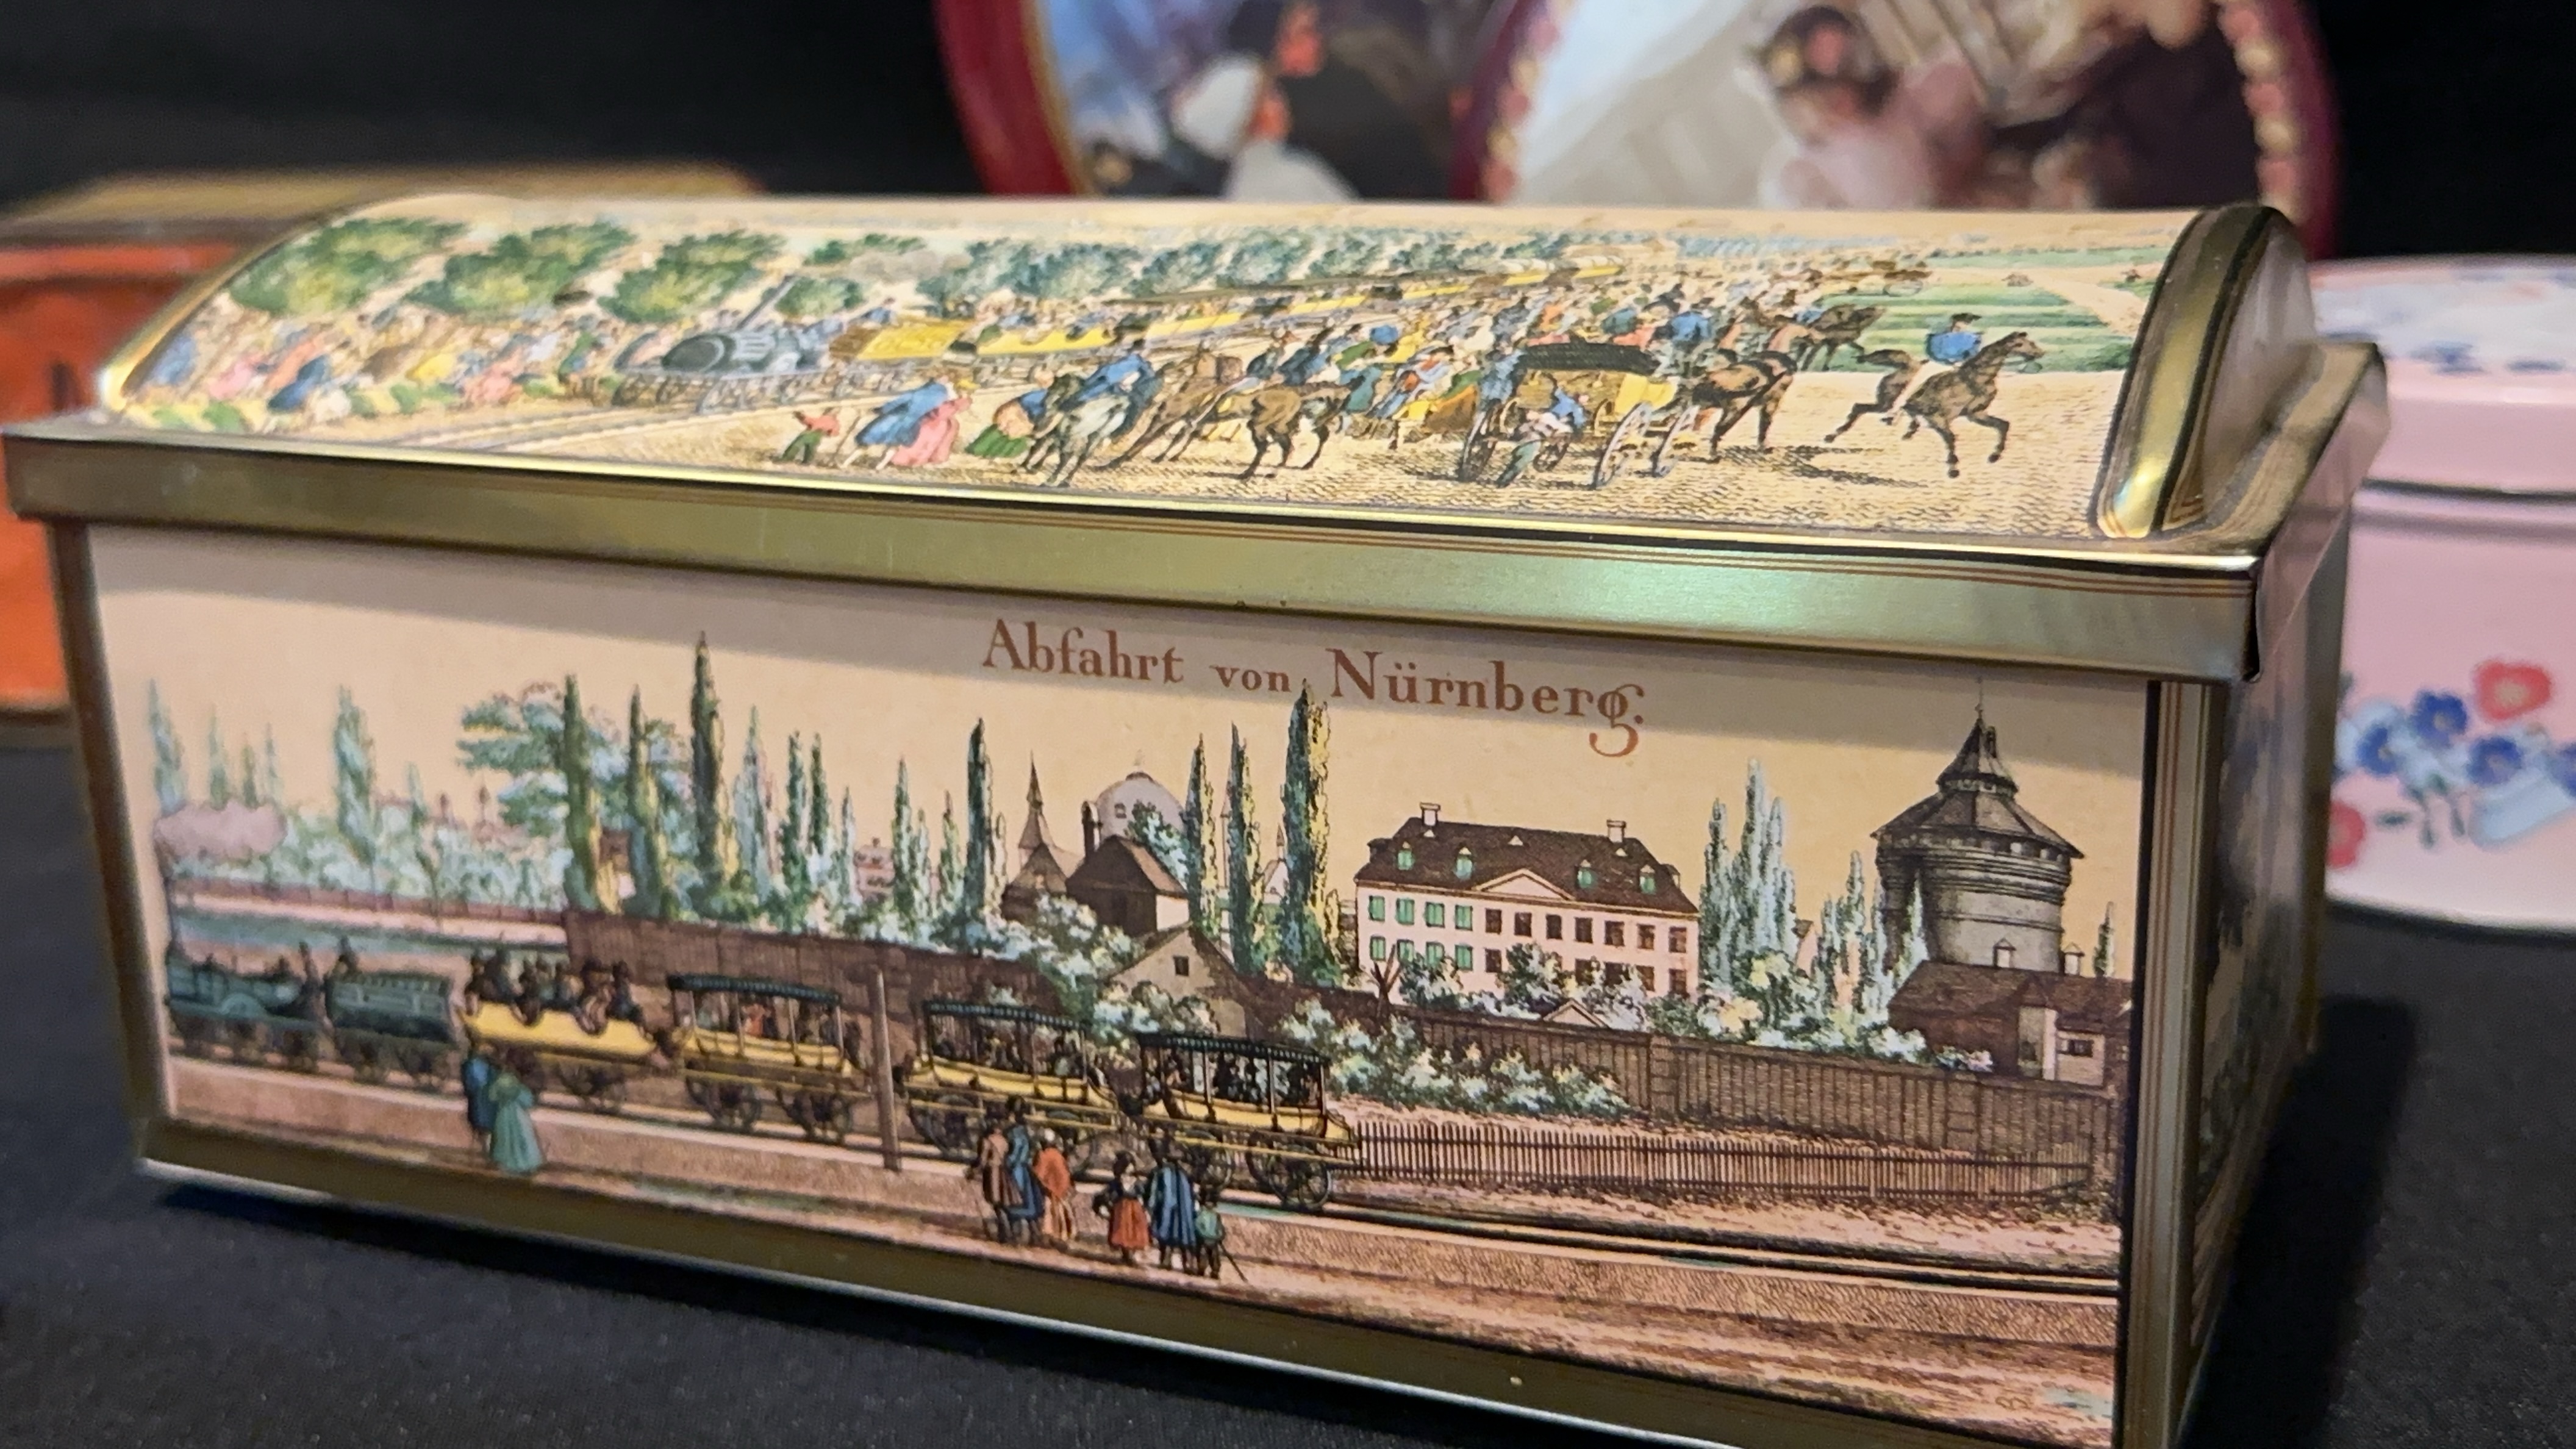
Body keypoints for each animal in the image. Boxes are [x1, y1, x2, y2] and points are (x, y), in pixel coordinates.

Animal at [1646, 350, 1799, 475]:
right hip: (1731, 412)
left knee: (1671, 431)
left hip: (1698, 407)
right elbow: (1763, 429)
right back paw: (1713, 456)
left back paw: (1657, 458)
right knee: (1717, 430)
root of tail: (1709, 379)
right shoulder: (1768, 406)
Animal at [1900, 331, 2045, 477]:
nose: (2040, 353)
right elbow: (1950, 438)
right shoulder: (1940, 418)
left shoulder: (1976, 414)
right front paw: (1953, 470)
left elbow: (2003, 425)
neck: (1977, 379)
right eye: (2021, 344)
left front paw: (1994, 456)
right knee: (1909, 410)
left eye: (2031, 343)